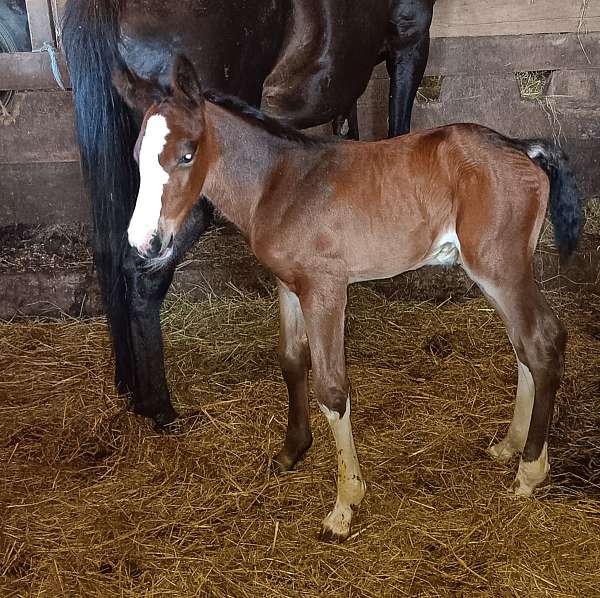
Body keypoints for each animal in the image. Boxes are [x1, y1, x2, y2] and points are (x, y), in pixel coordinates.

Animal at [112, 57, 580, 544]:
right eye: (137, 156)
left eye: (187, 153)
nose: (144, 243)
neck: (280, 183)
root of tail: (523, 149)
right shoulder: (290, 284)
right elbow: (292, 359)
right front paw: (293, 450)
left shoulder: (326, 289)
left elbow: (333, 390)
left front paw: (344, 506)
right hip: (494, 273)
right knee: (523, 346)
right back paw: (509, 446)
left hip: (500, 268)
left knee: (542, 343)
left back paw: (529, 472)